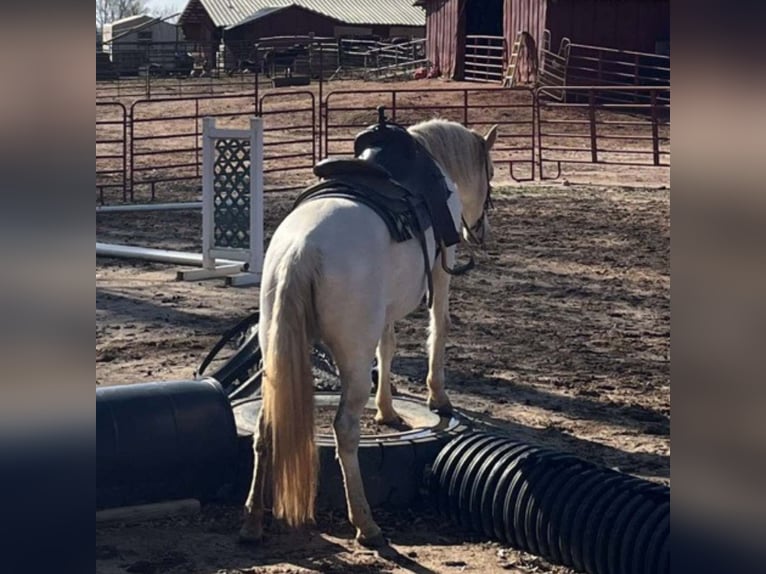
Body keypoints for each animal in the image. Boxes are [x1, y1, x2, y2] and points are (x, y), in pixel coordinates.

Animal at [243, 118, 500, 548]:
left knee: (265, 427)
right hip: (351, 360)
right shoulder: (441, 269)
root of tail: (299, 251)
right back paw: (366, 523)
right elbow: (439, 327)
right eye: (491, 172)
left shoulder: (385, 311)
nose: (480, 230)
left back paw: (253, 520)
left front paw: (387, 409)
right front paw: (438, 397)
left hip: (275, 353)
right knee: (345, 431)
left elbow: (389, 346)